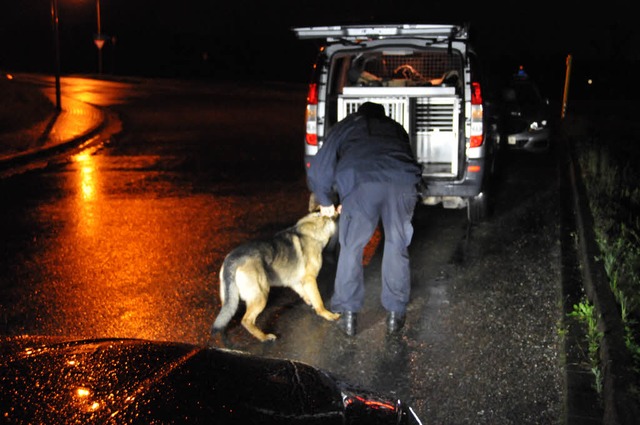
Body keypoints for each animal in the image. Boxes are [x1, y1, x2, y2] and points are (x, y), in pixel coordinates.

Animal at [210, 211, 340, 342]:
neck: (314, 226)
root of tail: (233, 259)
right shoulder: (310, 279)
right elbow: (319, 300)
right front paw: (327, 314)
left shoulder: (295, 281)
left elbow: (305, 293)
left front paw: (309, 301)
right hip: (261, 295)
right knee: (246, 320)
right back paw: (264, 337)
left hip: (230, 299)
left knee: (227, 314)